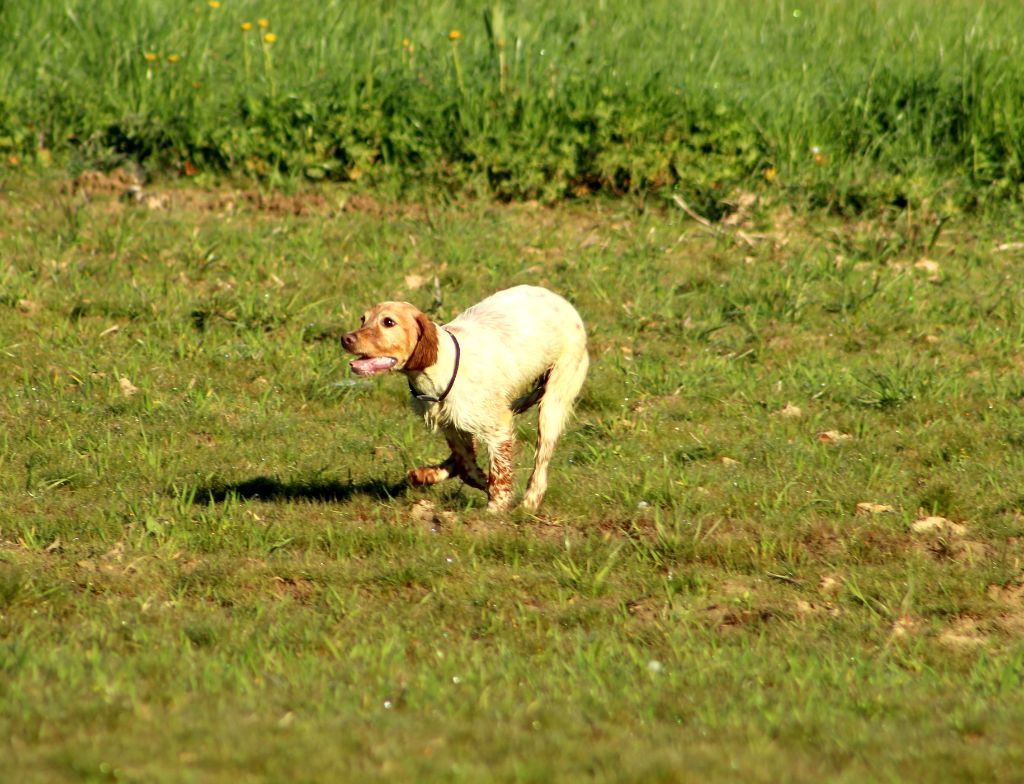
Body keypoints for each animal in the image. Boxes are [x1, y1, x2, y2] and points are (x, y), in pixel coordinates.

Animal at [342, 286, 589, 511]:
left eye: (388, 322)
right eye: (363, 319)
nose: (345, 339)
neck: (440, 369)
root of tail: (566, 305)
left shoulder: (498, 428)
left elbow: (498, 473)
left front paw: (496, 507)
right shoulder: (452, 427)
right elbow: (466, 467)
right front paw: (480, 482)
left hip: (553, 403)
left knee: (541, 461)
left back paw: (530, 502)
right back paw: (425, 474)